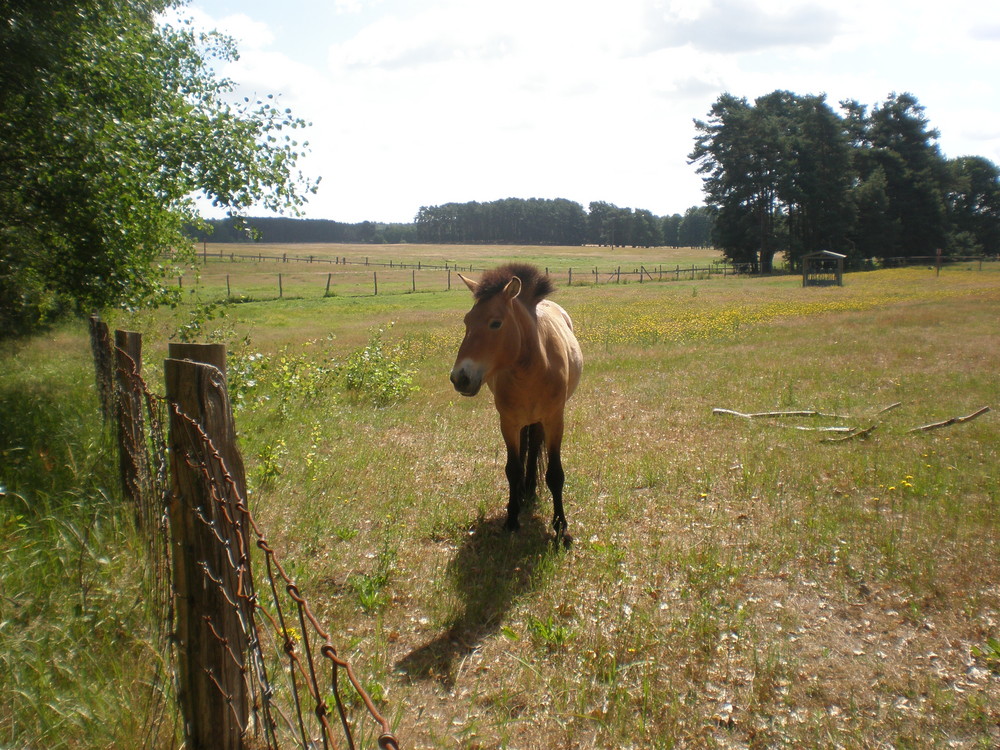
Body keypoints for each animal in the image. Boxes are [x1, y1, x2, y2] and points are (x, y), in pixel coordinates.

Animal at [450, 264, 584, 536]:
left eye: (495, 323)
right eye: (467, 321)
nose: (460, 378)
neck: (533, 367)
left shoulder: (555, 421)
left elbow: (555, 474)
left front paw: (561, 526)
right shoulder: (508, 422)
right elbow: (512, 469)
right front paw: (512, 518)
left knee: (534, 448)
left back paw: (530, 489)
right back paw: (524, 491)